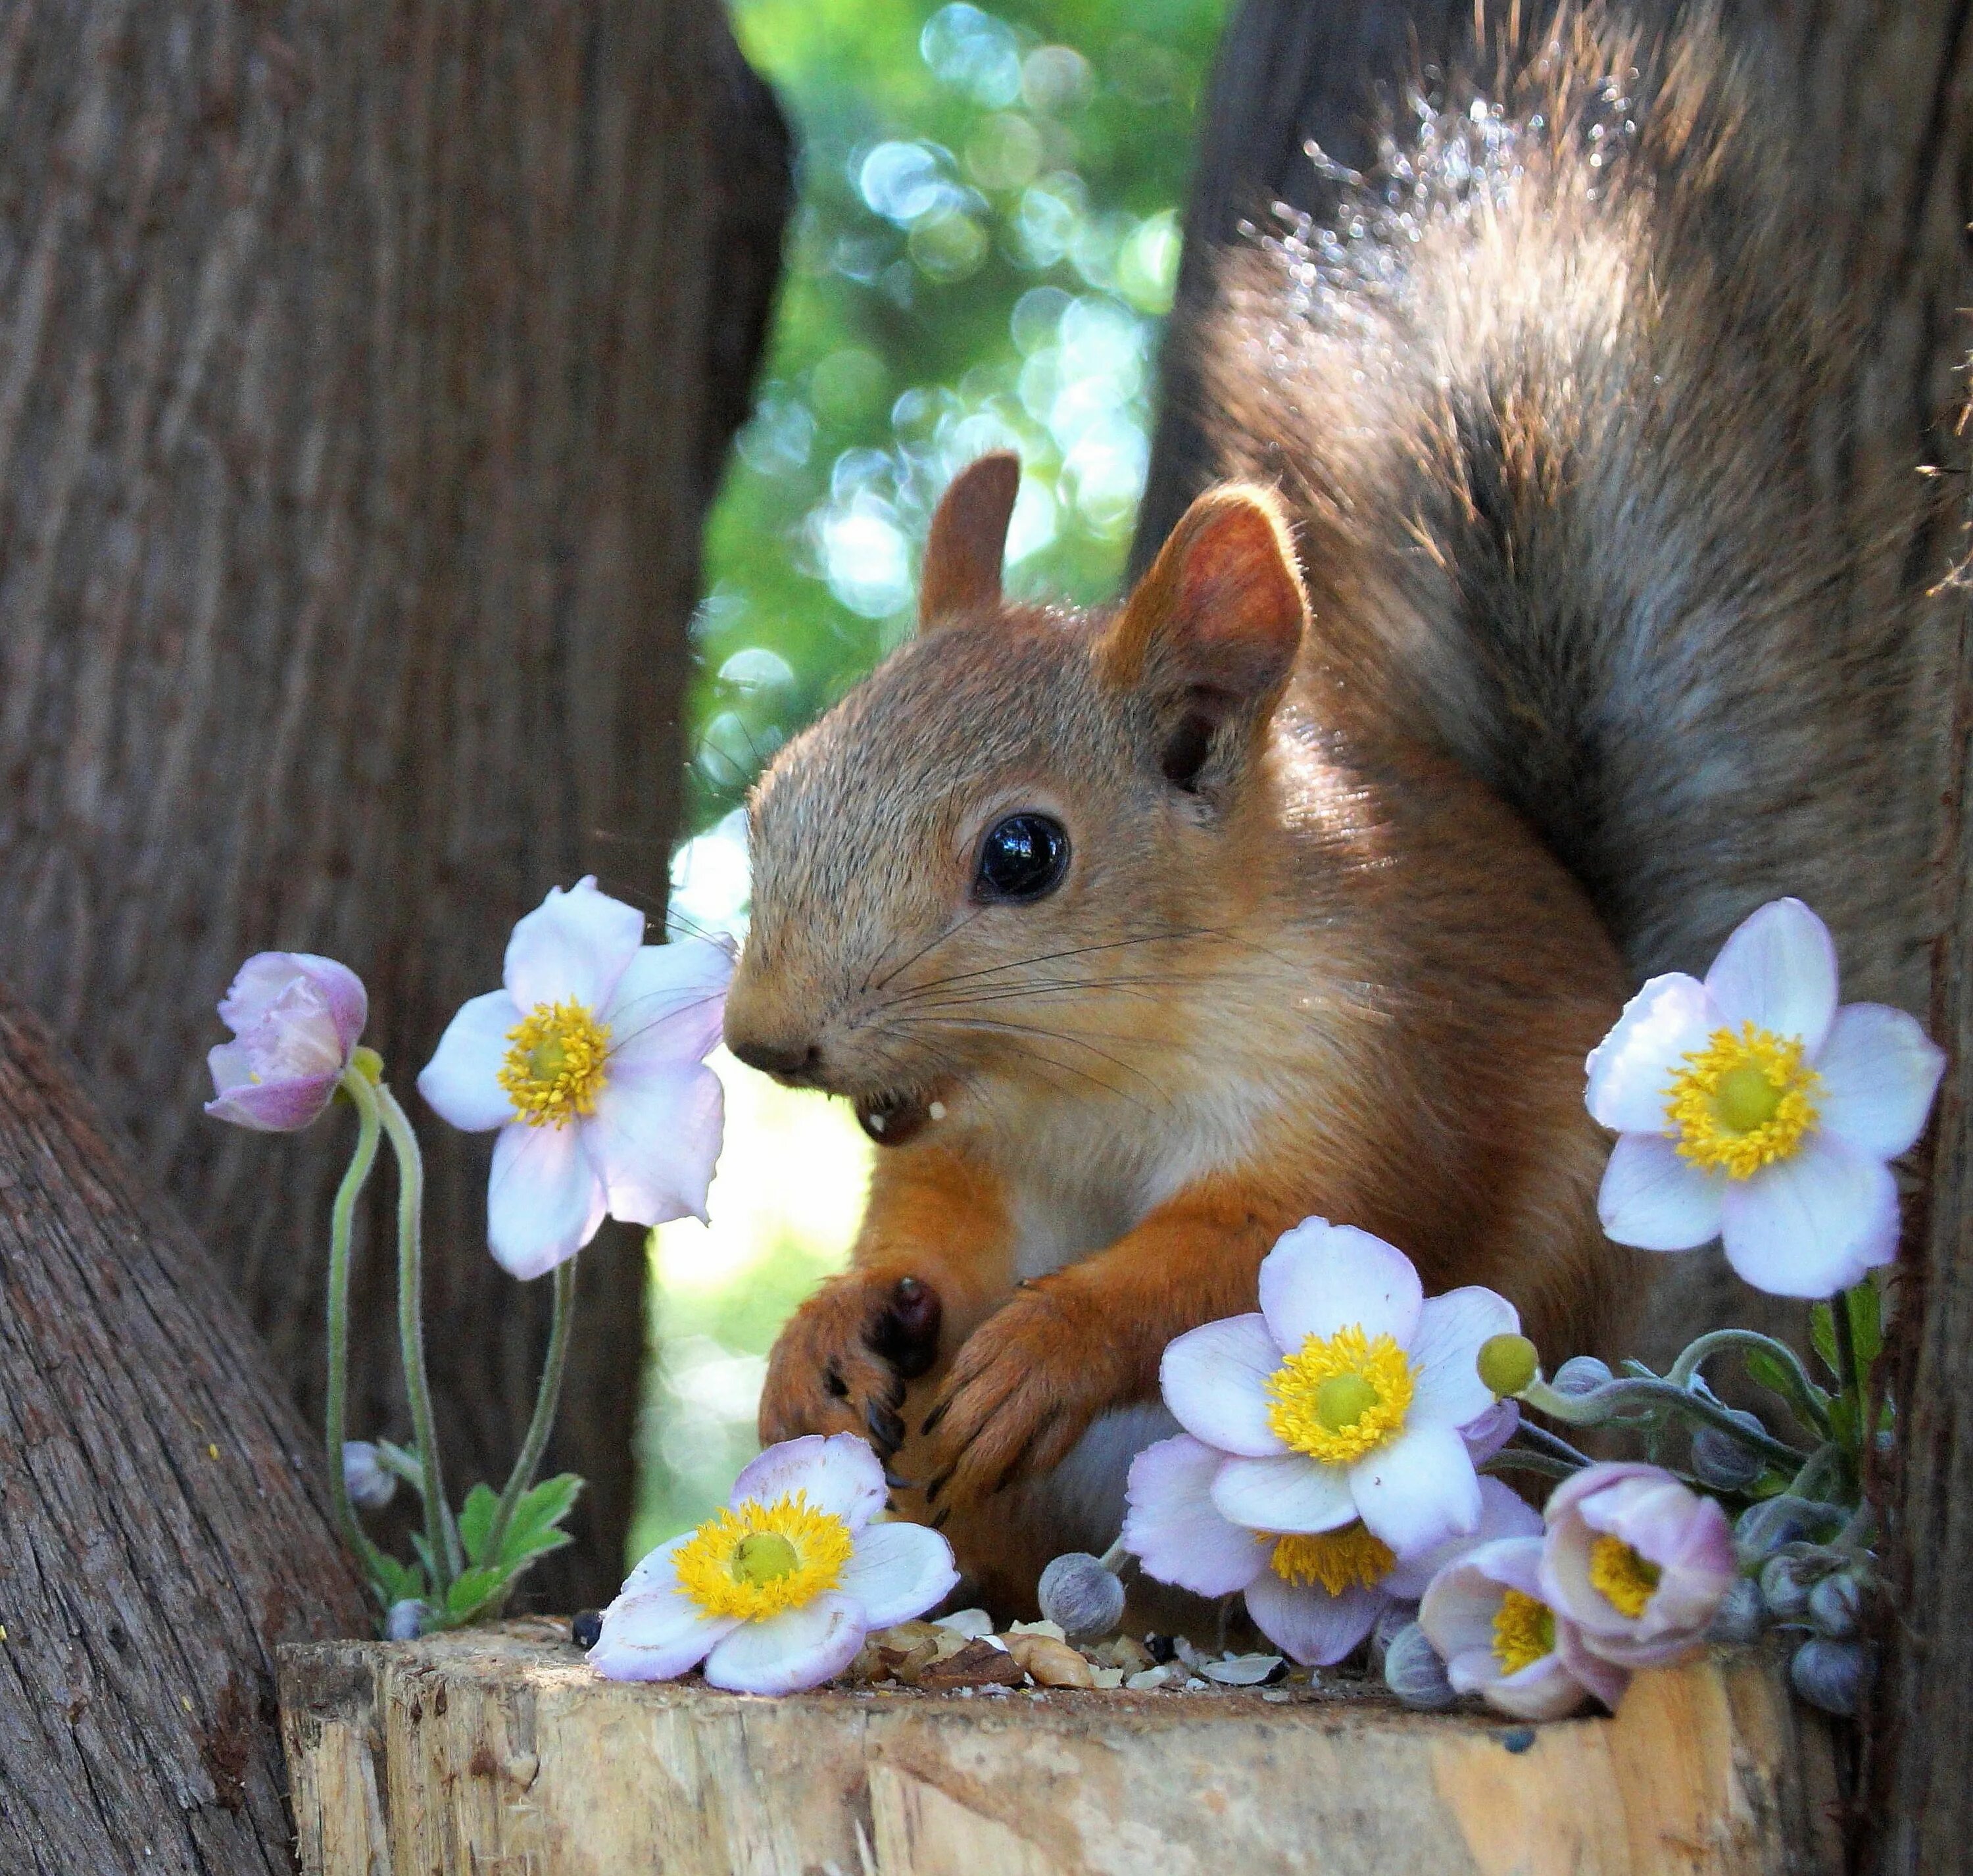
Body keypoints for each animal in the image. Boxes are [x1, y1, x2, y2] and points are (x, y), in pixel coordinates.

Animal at [718, 7, 1934, 1617]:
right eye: (772, 799)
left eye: (1025, 853)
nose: (763, 1039)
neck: (1101, 1064)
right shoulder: (973, 1149)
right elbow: (929, 1238)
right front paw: (829, 1327)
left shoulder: (1368, 1074)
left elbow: (1233, 1253)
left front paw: (1048, 1342)